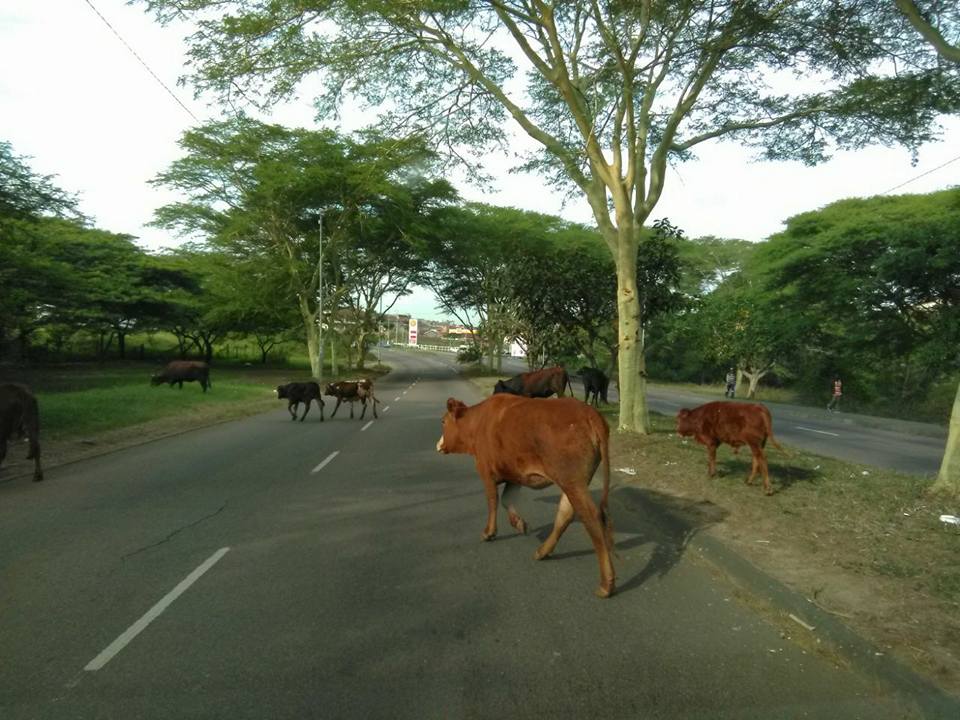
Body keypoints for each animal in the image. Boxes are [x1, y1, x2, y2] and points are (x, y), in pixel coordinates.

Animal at [436, 394, 616, 596]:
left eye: (443, 421)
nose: (439, 444)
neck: (478, 423)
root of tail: (589, 412)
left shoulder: (486, 472)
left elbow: (493, 501)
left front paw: (489, 532)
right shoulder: (514, 475)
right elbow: (506, 500)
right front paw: (519, 523)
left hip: (572, 481)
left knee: (591, 518)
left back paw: (606, 584)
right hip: (574, 482)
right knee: (566, 513)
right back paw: (543, 551)